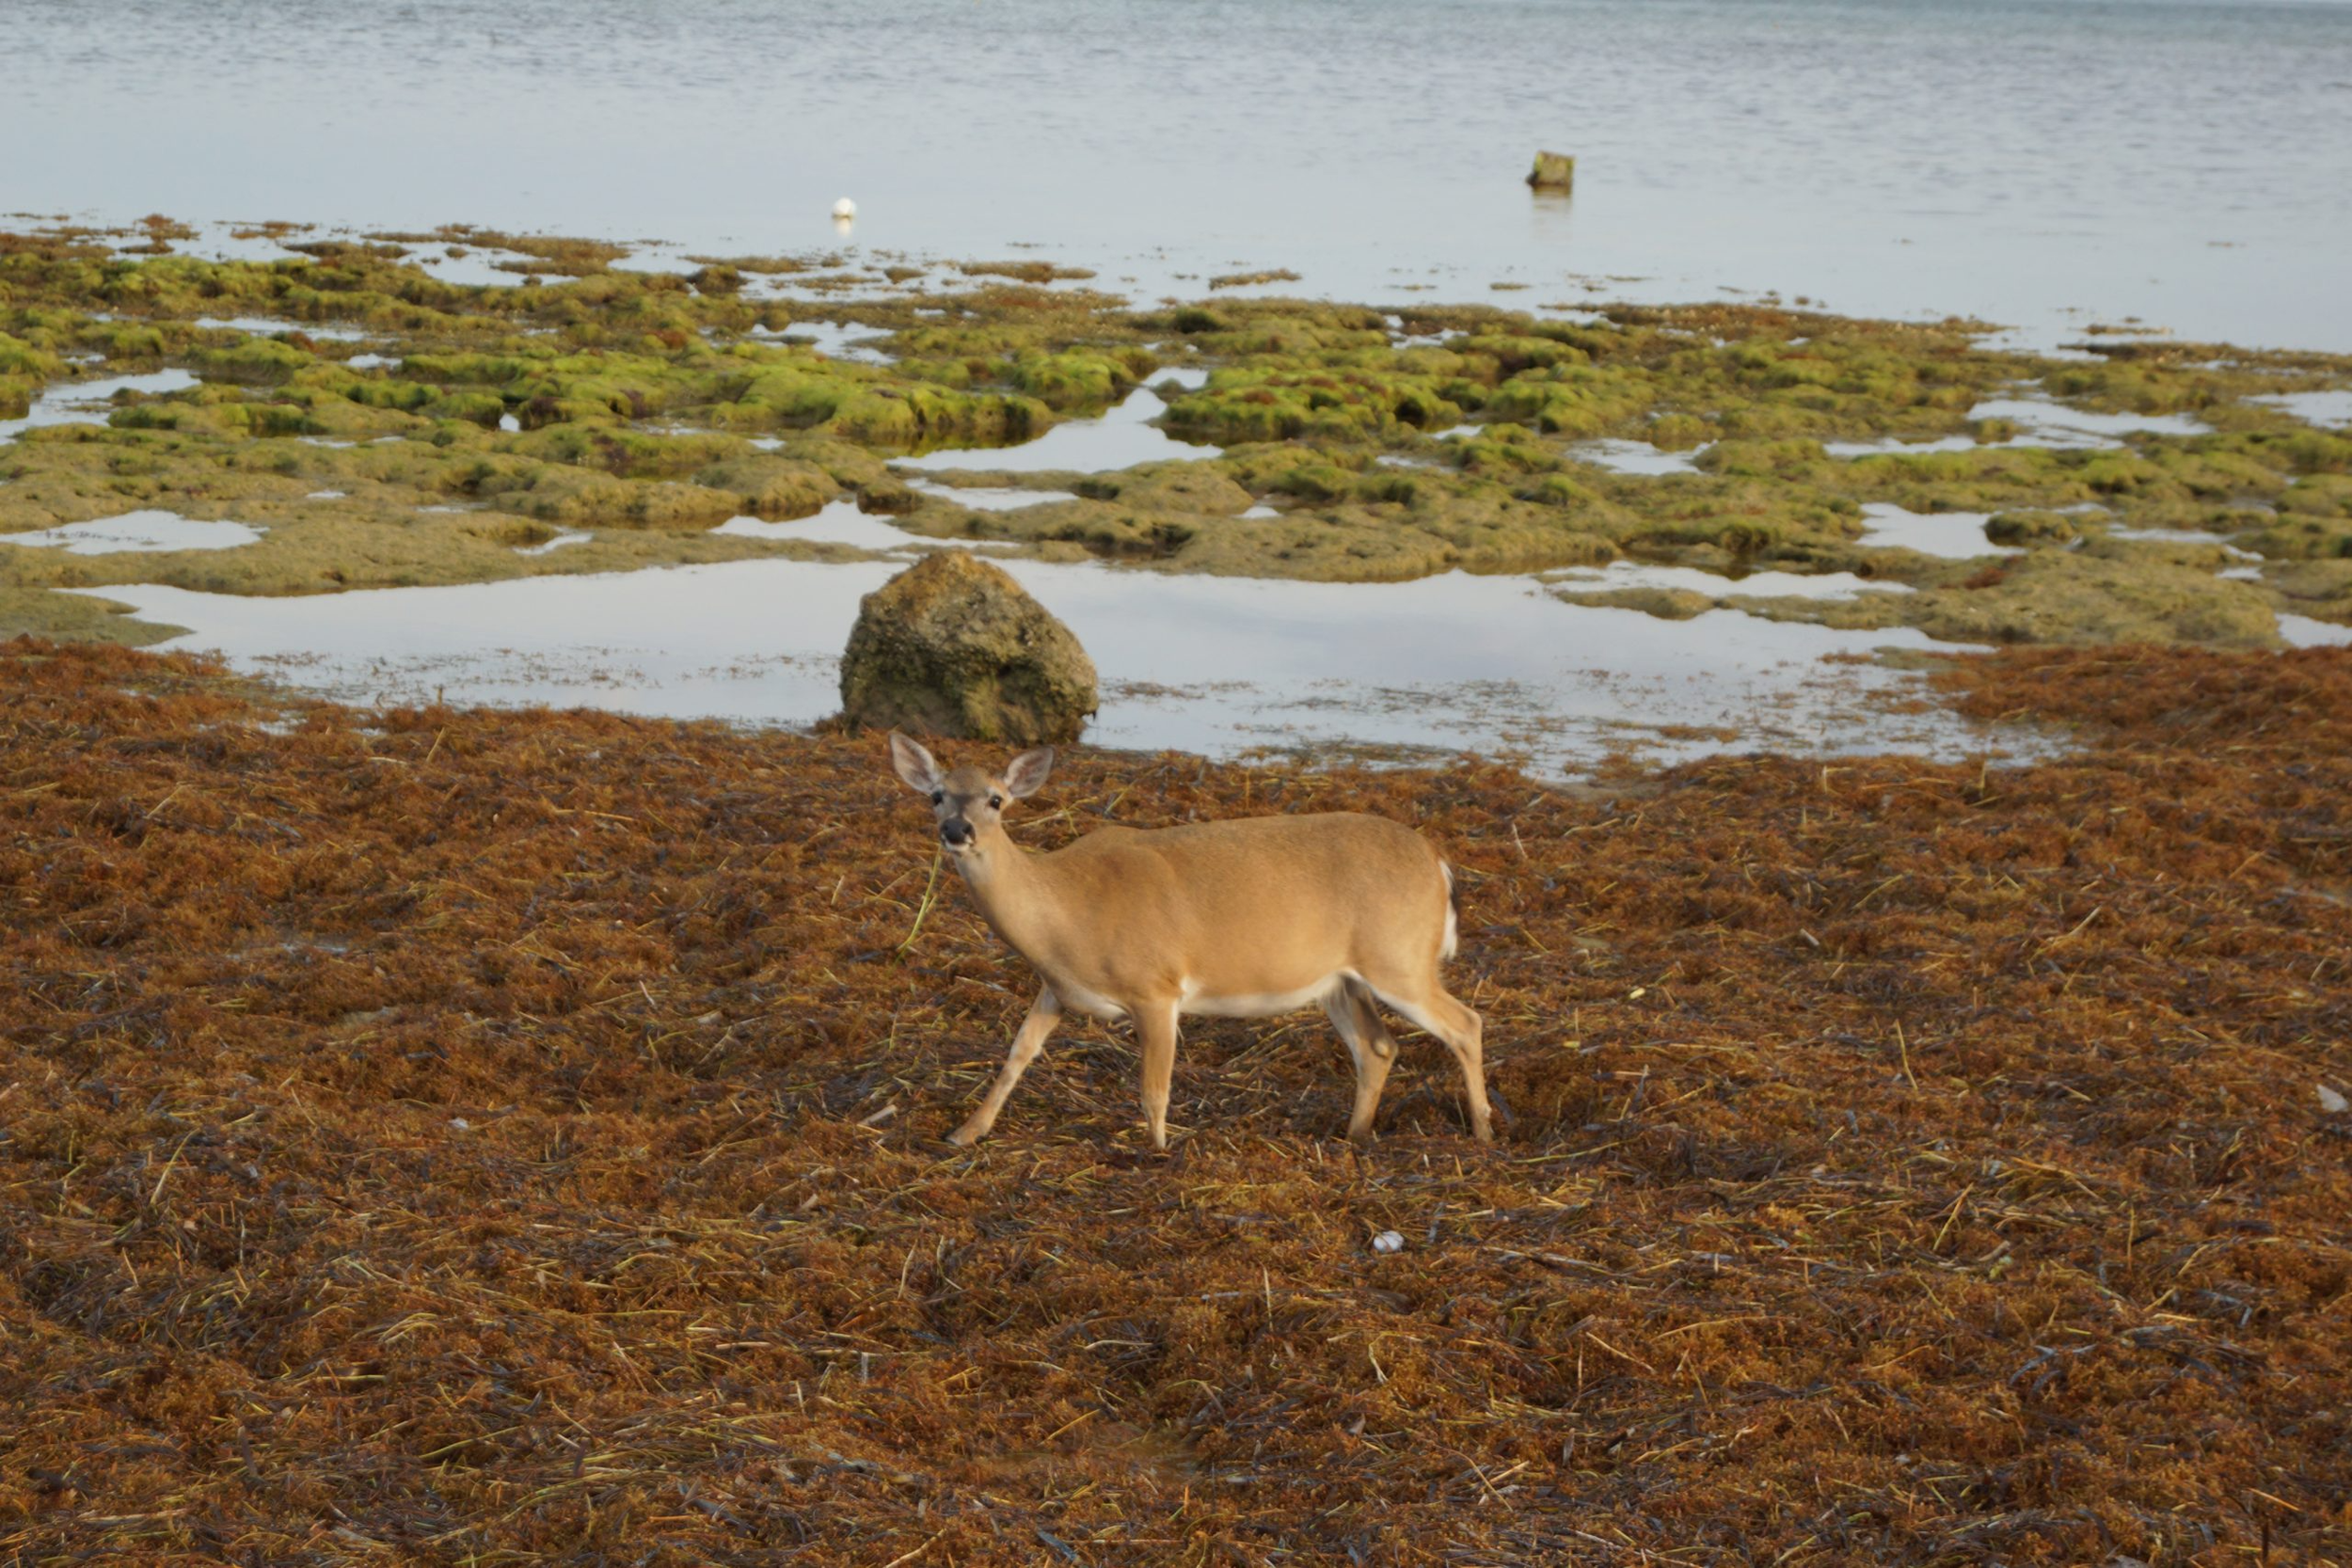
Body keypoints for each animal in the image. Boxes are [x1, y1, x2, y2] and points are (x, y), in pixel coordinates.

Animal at [887, 732, 1493, 1151]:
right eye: (937, 795)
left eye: (996, 800)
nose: (956, 830)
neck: (1067, 911)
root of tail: (1439, 864)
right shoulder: (1056, 989)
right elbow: (1017, 1053)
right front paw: (965, 1133)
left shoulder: (1156, 987)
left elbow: (1154, 1086)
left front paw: (1158, 1150)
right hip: (1342, 981)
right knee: (1379, 1047)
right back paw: (1355, 1133)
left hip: (1399, 957)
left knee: (1465, 1022)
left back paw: (1483, 1131)